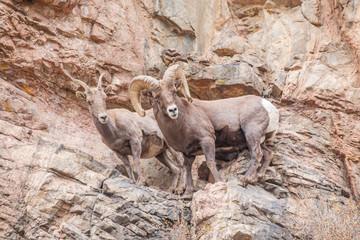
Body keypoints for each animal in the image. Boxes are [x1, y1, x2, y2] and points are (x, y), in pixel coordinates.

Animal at [128, 63, 280, 193]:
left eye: (174, 92)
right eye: (156, 97)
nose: (173, 110)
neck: (181, 126)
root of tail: (269, 107)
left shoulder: (207, 140)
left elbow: (210, 163)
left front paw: (219, 182)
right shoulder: (187, 152)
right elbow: (187, 168)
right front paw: (188, 192)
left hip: (252, 135)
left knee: (257, 154)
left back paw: (245, 179)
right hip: (261, 140)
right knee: (268, 154)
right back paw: (256, 178)